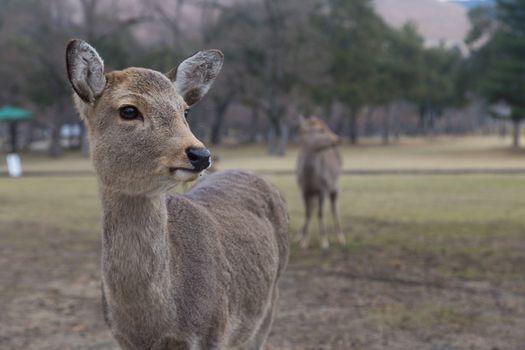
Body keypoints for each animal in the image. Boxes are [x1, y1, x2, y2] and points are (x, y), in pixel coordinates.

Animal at [65, 39, 288, 350]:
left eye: (185, 111)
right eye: (129, 110)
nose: (200, 154)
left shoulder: (215, 331)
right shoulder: (122, 339)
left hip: (270, 301)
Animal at [296, 117, 346, 249]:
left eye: (325, 125)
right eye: (320, 129)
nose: (338, 138)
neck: (310, 177)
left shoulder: (323, 188)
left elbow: (321, 213)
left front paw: (324, 242)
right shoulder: (304, 190)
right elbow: (307, 213)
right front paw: (303, 242)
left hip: (335, 187)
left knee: (335, 210)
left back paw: (341, 238)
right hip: (314, 193)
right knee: (313, 208)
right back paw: (299, 236)